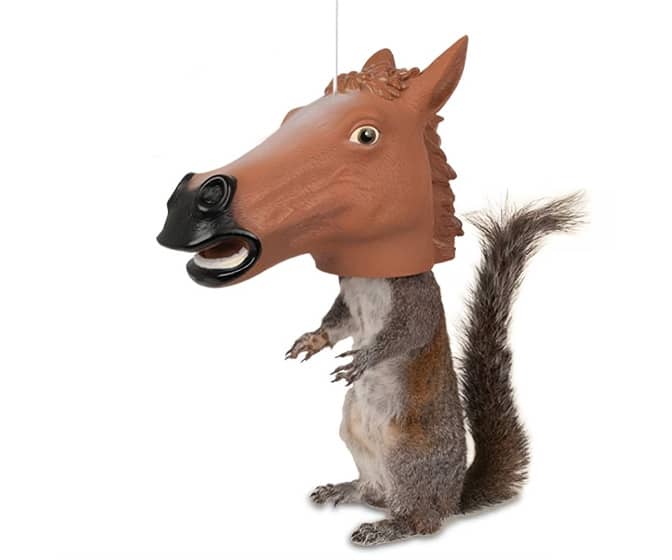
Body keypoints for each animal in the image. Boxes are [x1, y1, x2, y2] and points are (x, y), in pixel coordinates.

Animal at [286, 194, 583, 546]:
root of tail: (450, 499)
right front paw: (312, 340)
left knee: (423, 522)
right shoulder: (348, 298)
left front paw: (365, 359)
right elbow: (339, 323)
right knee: (375, 493)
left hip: (407, 455)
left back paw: (388, 528)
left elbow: (405, 334)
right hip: (354, 433)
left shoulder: (415, 299)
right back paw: (345, 490)